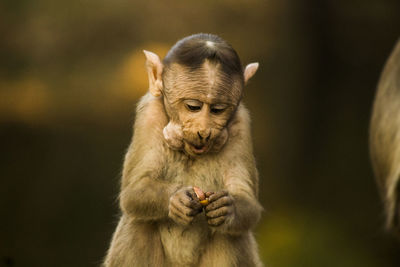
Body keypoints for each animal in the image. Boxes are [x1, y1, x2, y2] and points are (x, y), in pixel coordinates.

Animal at [104, 34, 264, 267]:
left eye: (217, 110)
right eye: (193, 107)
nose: (204, 132)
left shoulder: (241, 123)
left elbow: (248, 202)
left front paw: (228, 208)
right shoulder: (149, 114)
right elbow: (134, 191)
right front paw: (176, 198)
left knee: (230, 234)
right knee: (139, 223)